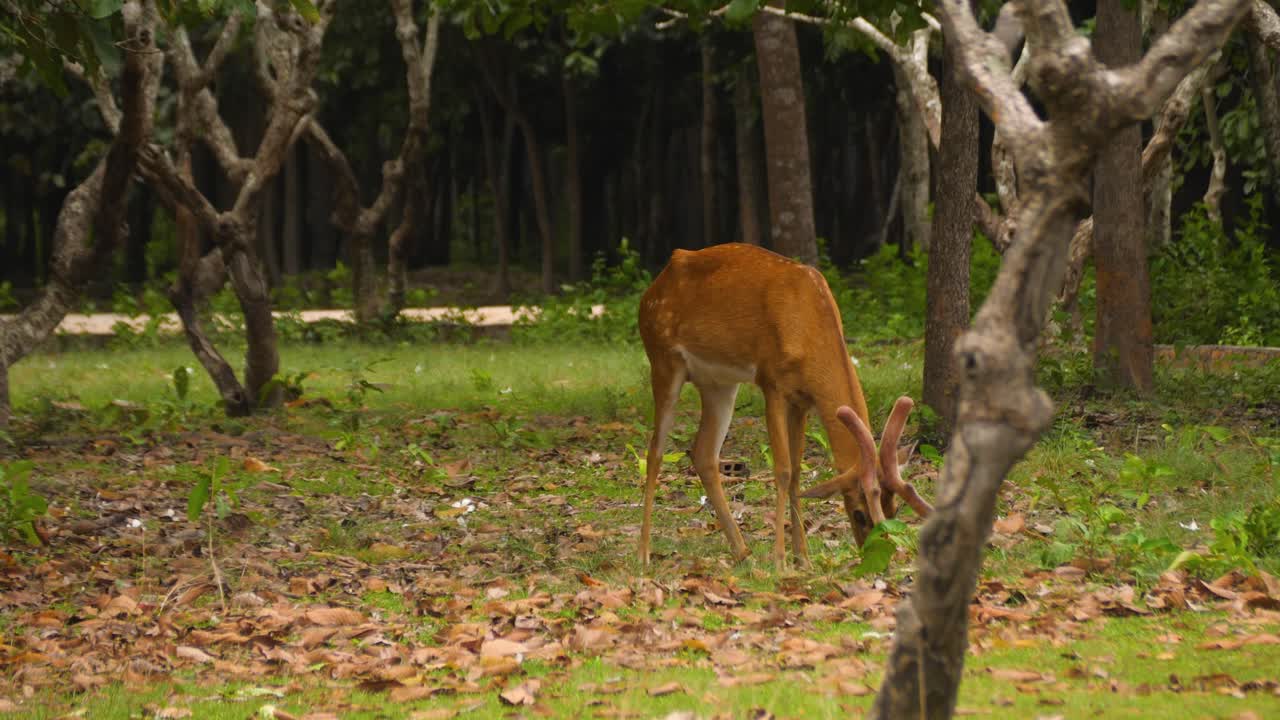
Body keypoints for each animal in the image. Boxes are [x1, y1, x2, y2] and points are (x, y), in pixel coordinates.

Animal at [637, 243, 934, 570]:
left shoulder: (801, 400)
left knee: (702, 452)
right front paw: (780, 561)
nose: (870, 555)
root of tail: (651, 291)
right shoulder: (772, 383)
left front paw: (803, 558)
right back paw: (645, 553)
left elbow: (797, 474)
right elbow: (782, 470)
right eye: (858, 513)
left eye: (894, 511)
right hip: (663, 359)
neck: (808, 328)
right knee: (655, 452)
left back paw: (743, 552)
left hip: (718, 383)